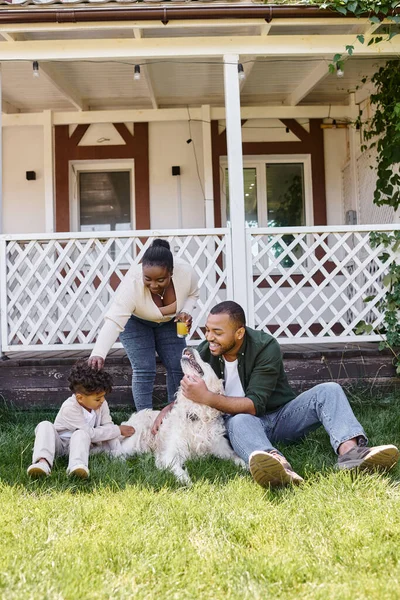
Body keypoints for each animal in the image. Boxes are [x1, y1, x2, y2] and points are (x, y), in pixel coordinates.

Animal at [113, 346, 247, 482]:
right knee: (116, 452)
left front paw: (248, 467)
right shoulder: (171, 454)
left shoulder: (221, 447)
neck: (196, 415)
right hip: (135, 439)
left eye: (206, 363)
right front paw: (189, 482)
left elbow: (237, 457)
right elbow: (180, 472)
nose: (189, 347)